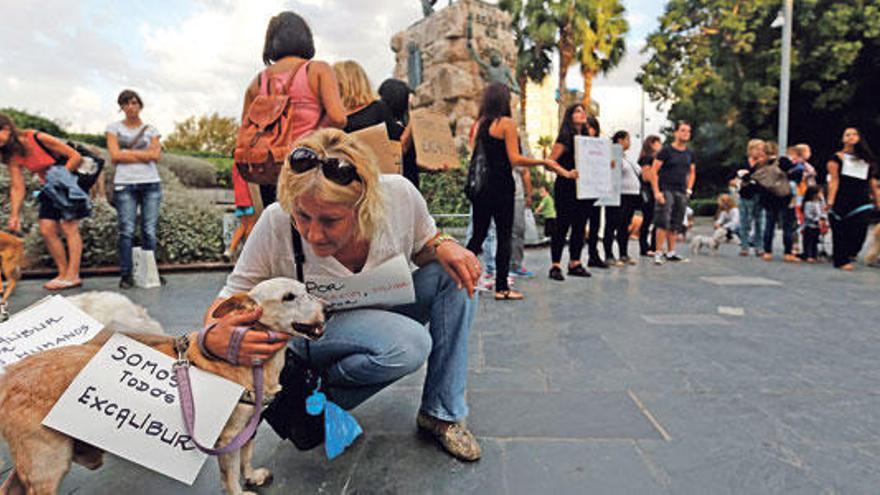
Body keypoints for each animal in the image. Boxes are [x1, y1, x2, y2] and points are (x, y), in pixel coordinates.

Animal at [0, 280, 326, 495]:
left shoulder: (248, 428)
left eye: (306, 289)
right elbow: (230, 475)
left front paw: (252, 475)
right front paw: (238, 488)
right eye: (288, 297)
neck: (255, 364)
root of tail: (9, 376)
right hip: (49, 463)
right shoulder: (228, 438)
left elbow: (246, 455)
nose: (331, 306)